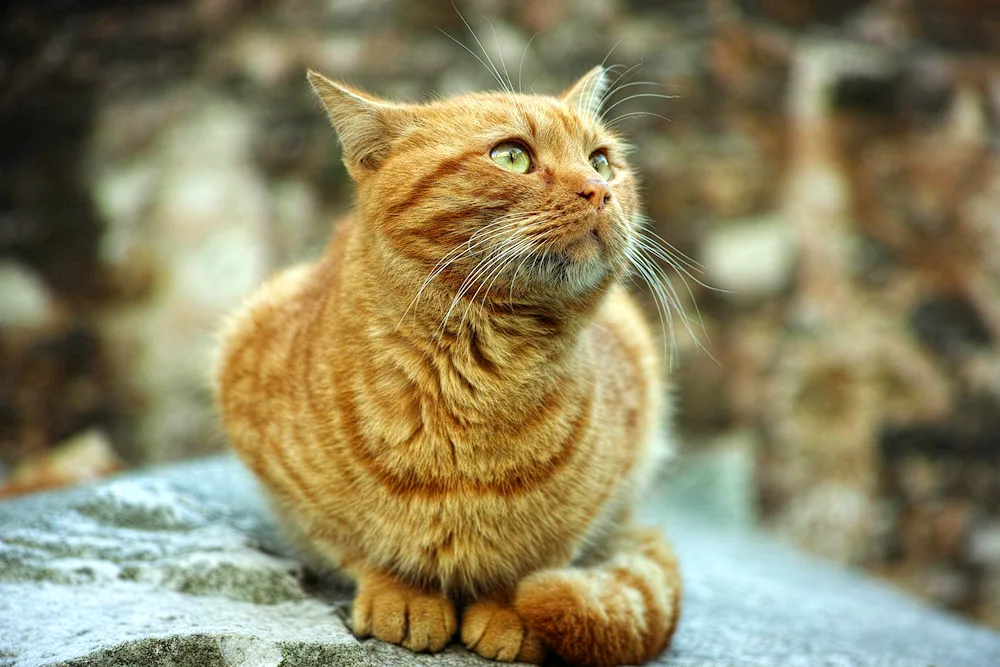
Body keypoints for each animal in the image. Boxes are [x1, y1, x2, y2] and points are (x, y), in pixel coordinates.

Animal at [215, 64, 684, 667]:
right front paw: (402, 592)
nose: (600, 189)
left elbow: (534, 564)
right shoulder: (256, 405)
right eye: (512, 156)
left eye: (601, 160)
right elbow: (352, 545)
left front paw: (508, 611)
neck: (476, 380)